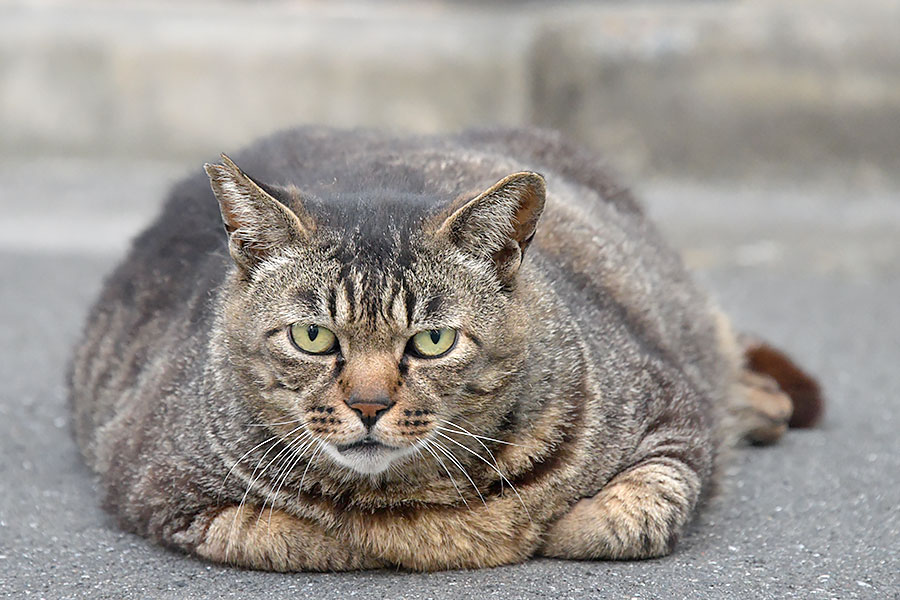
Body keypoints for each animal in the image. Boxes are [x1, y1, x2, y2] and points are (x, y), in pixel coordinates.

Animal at [67, 127, 820, 572]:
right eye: (314, 337)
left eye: (432, 341)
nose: (369, 405)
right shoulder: (157, 484)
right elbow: (300, 536)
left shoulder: (672, 411)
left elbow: (628, 513)